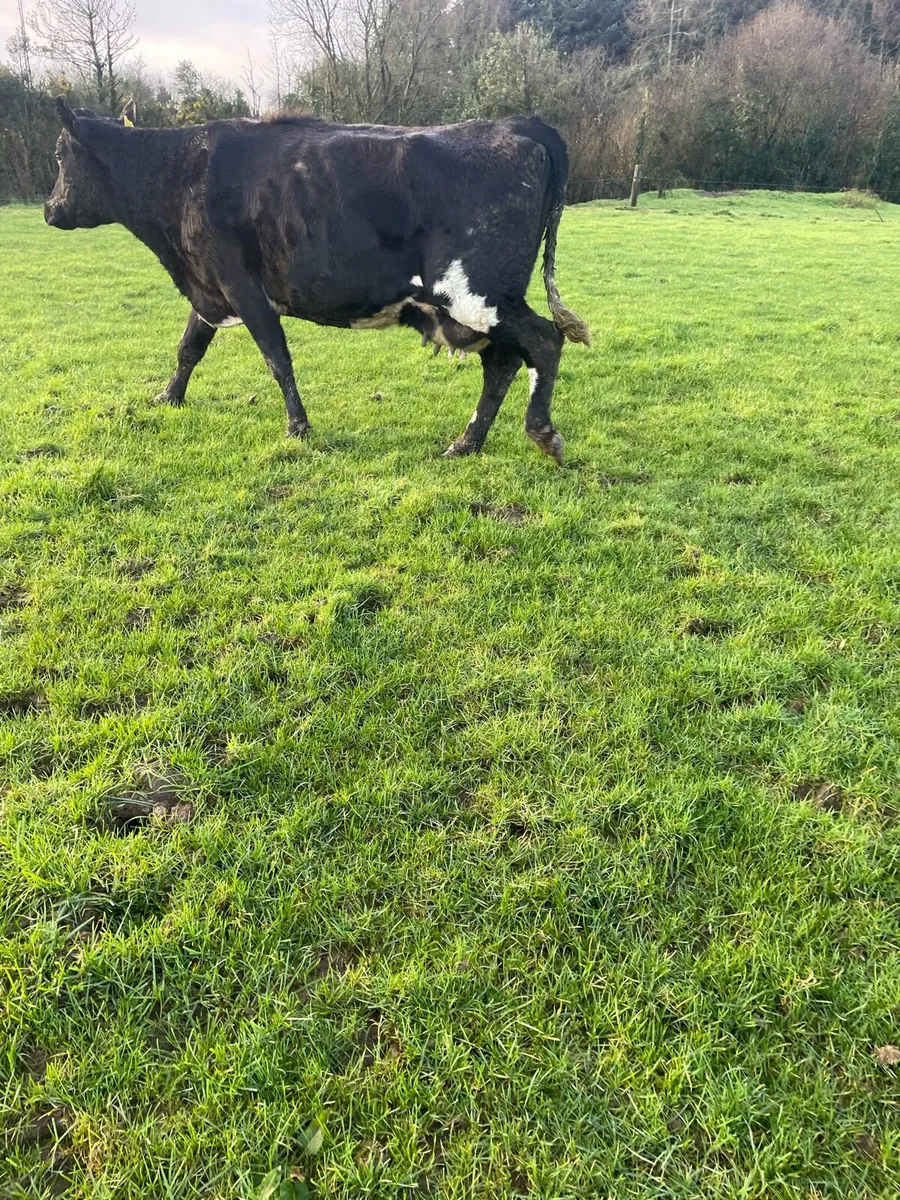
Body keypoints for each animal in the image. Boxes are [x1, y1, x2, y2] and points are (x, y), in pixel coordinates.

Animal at [45, 98, 589, 462]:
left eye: (59, 156)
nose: (50, 210)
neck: (179, 171)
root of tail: (517, 122)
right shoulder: (211, 288)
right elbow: (189, 349)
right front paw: (168, 398)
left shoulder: (242, 287)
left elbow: (277, 359)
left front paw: (298, 427)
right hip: (478, 305)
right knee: (503, 363)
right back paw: (467, 442)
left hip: (475, 293)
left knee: (542, 341)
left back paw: (541, 433)